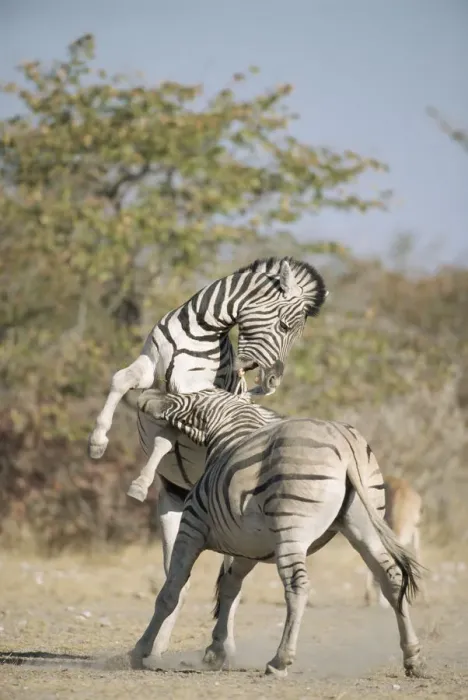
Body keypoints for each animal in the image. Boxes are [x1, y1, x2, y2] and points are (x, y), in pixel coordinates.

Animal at [131, 388, 426, 679]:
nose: (140, 395)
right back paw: (413, 657)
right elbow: (229, 588)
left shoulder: (192, 527)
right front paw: (216, 651)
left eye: (182, 397)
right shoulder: (246, 546)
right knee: (391, 577)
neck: (227, 436)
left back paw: (279, 660)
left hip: (291, 530)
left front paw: (140, 650)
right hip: (364, 527)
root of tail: (343, 442)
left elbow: (171, 591)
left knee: (298, 585)